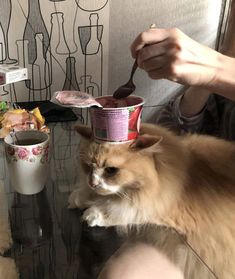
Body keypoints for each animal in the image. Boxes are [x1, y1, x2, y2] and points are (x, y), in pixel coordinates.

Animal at [68, 123, 235, 278]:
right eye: (88, 166)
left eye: (111, 170)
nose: (92, 183)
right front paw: (78, 198)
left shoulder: (156, 209)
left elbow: (120, 211)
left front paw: (92, 214)